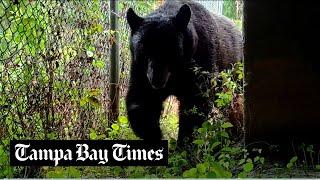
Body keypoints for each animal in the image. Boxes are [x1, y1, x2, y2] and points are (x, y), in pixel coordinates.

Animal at [125, 0, 242, 146]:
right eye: (144, 50)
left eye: (169, 50)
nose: (156, 79)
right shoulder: (140, 70)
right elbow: (142, 100)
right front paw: (154, 135)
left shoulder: (201, 63)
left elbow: (195, 106)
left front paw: (184, 144)